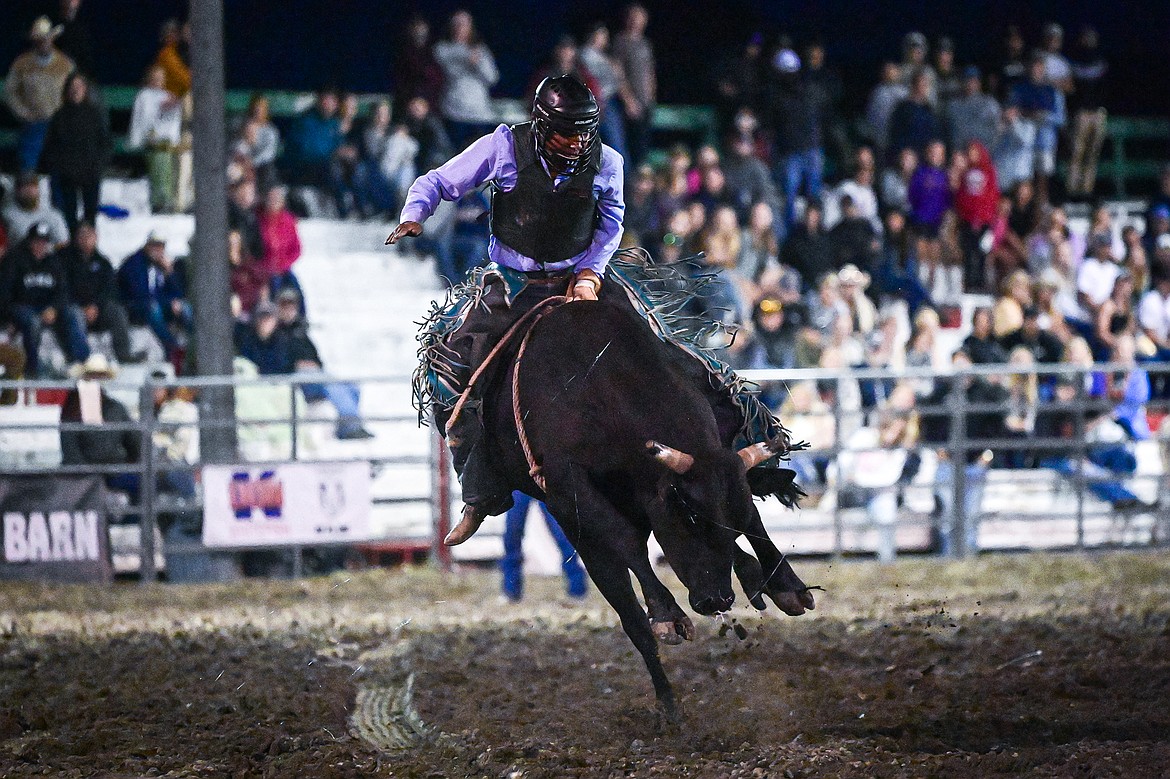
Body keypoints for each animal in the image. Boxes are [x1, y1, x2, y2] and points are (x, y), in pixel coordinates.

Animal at [470, 292, 819, 715]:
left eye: (730, 517)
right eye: (690, 515)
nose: (717, 599)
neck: (599, 381)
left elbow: (752, 522)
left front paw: (785, 583)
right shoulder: (567, 491)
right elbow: (622, 541)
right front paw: (666, 614)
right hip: (581, 534)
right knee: (629, 609)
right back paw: (668, 702)